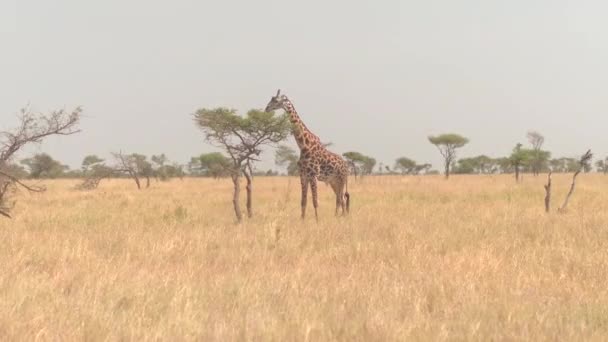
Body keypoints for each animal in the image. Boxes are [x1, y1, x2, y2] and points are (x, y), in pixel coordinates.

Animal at [264, 89, 350, 220]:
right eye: (271, 98)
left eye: (276, 100)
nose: (267, 108)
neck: (304, 145)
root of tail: (346, 166)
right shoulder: (303, 175)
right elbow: (303, 201)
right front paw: (302, 220)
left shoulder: (313, 175)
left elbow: (315, 201)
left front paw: (317, 221)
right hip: (333, 181)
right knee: (340, 200)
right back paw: (338, 217)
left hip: (341, 180)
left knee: (341, 199)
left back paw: (342, 218)